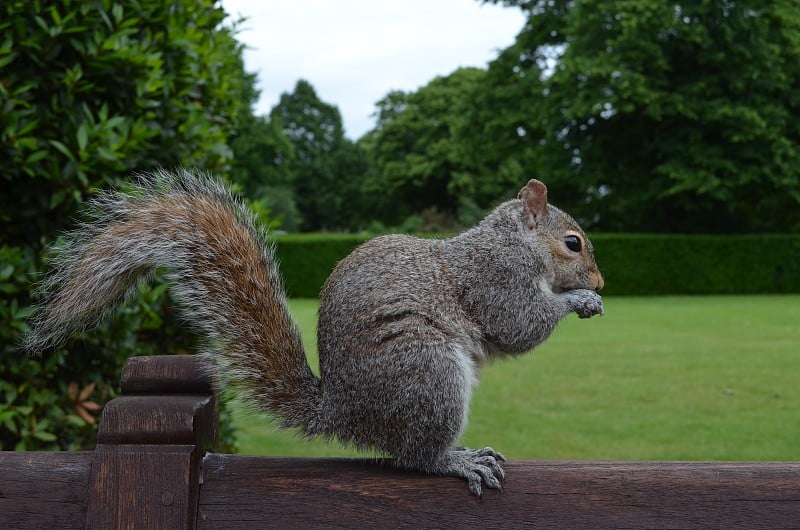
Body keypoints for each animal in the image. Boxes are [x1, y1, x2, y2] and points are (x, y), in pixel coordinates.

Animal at [21, 168, 604, 496]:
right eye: (573, 243)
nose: (601, 281)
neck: (515, 242)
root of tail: (341, 411)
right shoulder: (494, 279)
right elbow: (518, 324)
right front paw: (578, 300)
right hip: (427, 373)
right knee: (413, 457)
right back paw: (457, 461)